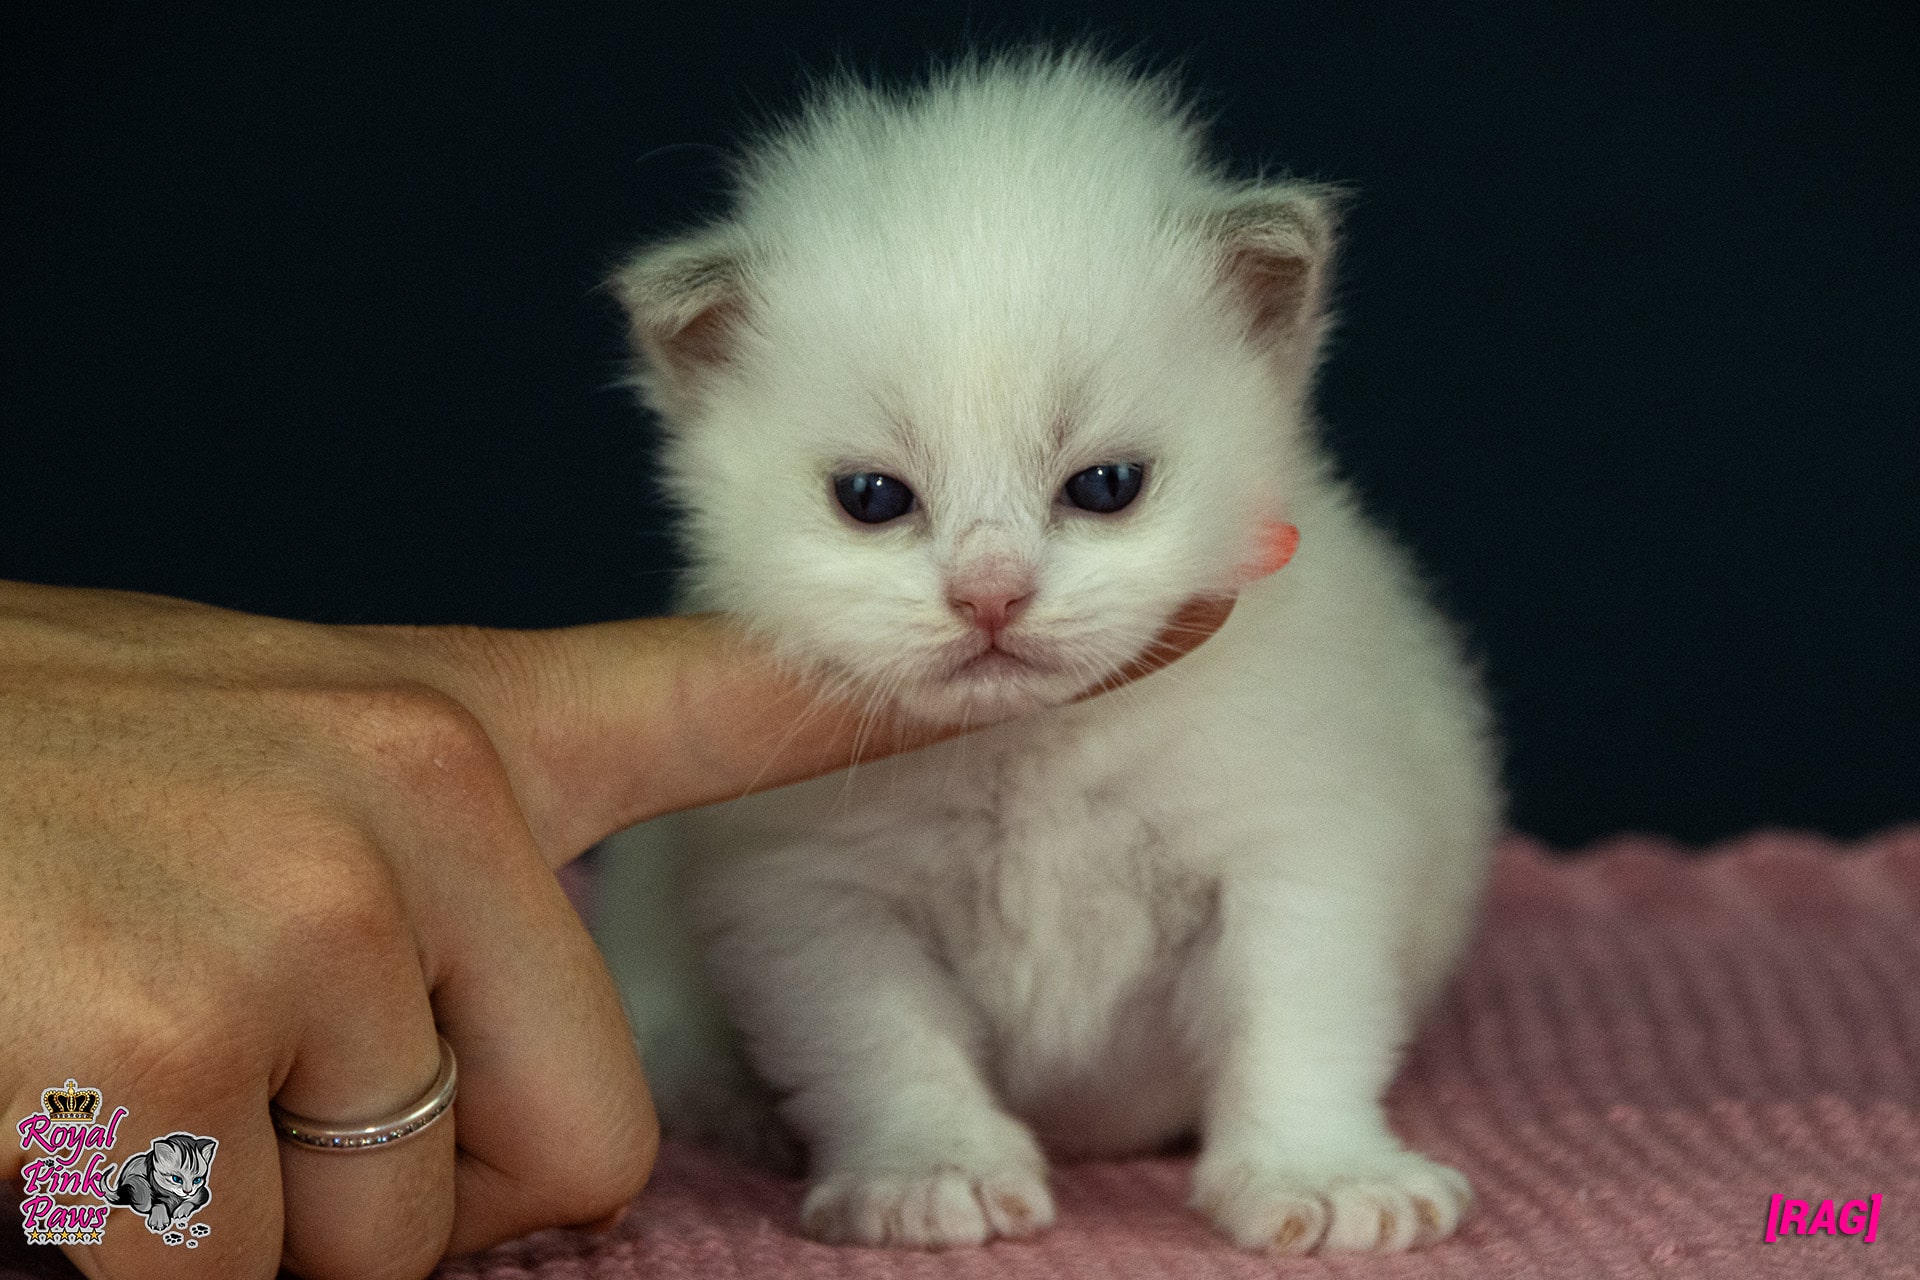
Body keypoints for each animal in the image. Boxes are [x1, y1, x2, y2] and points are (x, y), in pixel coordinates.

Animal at [595, 47, 1497, 1251]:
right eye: (872, 498)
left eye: (1106, 486)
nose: (990, 594)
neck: (1033, 748)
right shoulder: (814, 892)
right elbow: (880, 1044)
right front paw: (931, 1172)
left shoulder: (1298, 843)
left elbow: (1299, 1021)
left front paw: (1324, 1175)